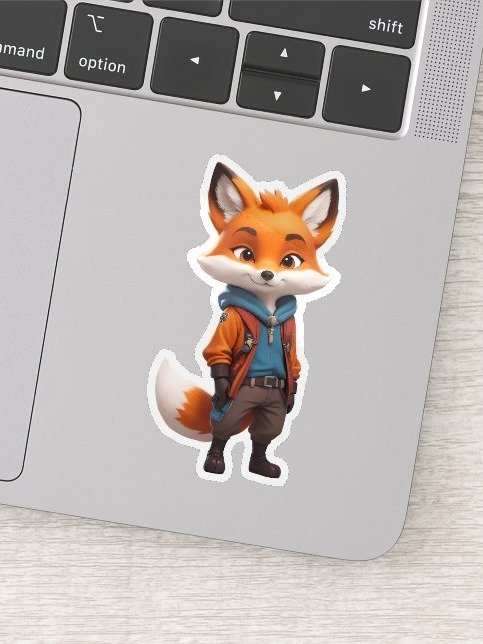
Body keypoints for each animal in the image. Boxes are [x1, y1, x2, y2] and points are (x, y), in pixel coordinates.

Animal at [148, 156, 345, 485]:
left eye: (290, 261)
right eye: (245, 254)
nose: (267, 274)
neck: (268, 313)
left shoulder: (289, 347)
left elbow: (292, 371)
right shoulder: (229, 324)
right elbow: (219, 357)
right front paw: (221, 389)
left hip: (270, 406)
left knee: (264, 433)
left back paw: (261, 467)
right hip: (238, 403)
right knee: (224, 427)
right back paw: (214, 462)